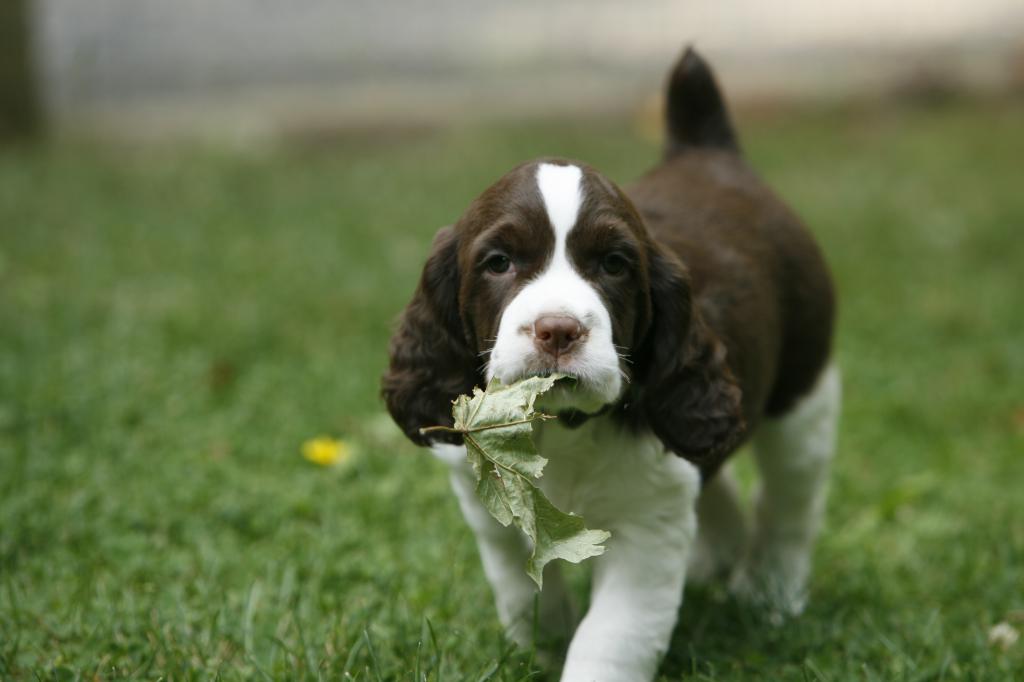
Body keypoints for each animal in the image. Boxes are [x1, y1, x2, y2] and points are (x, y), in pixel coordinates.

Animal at [380, 49, 835, 679]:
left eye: (614, 264)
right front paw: (537, 647)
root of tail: (708, 153)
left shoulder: (646, 532)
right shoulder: (487, 504)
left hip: (803, 394)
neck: (562, 429)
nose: (559, 330)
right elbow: (520, 585)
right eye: (498, 261)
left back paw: (771, 592)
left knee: (790, 499)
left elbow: (611, 638)